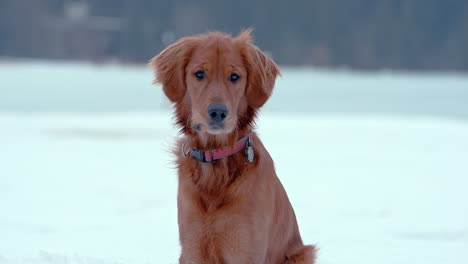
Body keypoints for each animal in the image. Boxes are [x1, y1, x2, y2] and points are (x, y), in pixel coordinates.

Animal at [150, 29, 316, 262]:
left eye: (234, 77)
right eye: (199, 74)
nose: (218, 112)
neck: (215, 163)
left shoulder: (245, 249)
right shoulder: (192, 246)